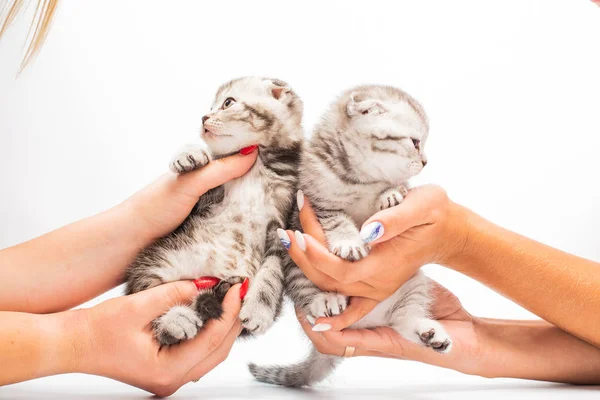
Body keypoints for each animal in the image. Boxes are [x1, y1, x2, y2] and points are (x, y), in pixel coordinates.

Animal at [126, 76, 304, 346]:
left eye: (227, 103)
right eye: (210, 107)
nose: (203, 117)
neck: (257, 164)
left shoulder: (282, 224)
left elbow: (272, 271)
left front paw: (259, 309)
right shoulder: (204, 200)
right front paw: (189, 153)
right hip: (156, 262)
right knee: (147, 298)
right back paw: (174, 321)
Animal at [248, 84, 450, 388]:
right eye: (415, 142)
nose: (426, 162)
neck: (360, 178)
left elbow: (395, 190)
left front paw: (391, 194)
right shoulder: (315, 203)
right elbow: (338, 220)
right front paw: (349, 242)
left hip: (413, 283)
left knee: (403, 321)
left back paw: (427, 332)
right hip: (294, 264)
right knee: (307, 295)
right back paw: (325, 300)